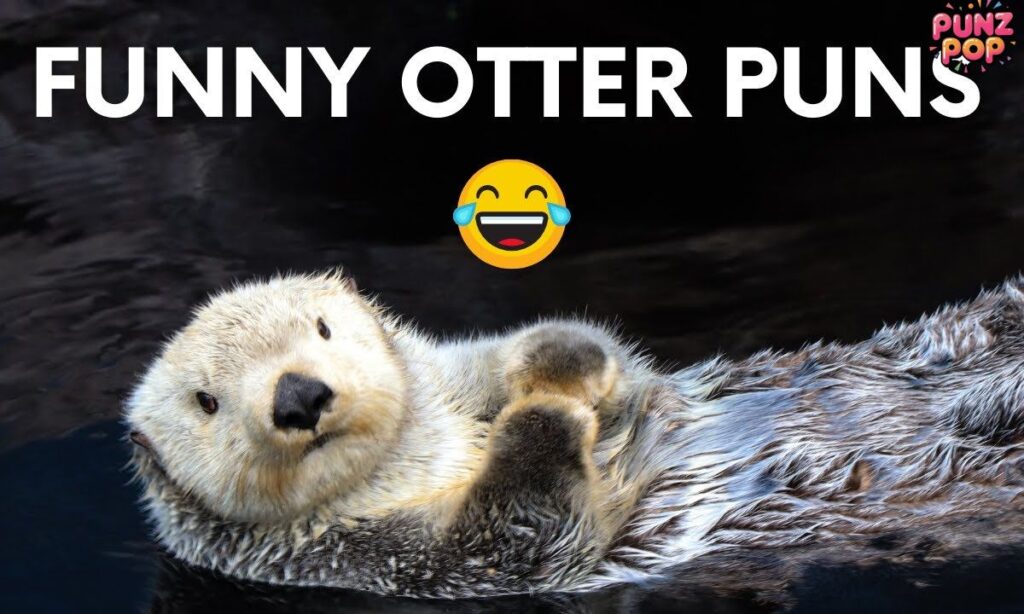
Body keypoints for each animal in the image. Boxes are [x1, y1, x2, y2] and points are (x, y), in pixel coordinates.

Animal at [126, 271, 1024, 598]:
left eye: (321, 327)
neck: (421, 456)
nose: (300, 396)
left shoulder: (456, 374)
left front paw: (556, 367)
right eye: (207, 401)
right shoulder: (371, 559)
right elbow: (518, 535)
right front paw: (546, 414)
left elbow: (587, 352)